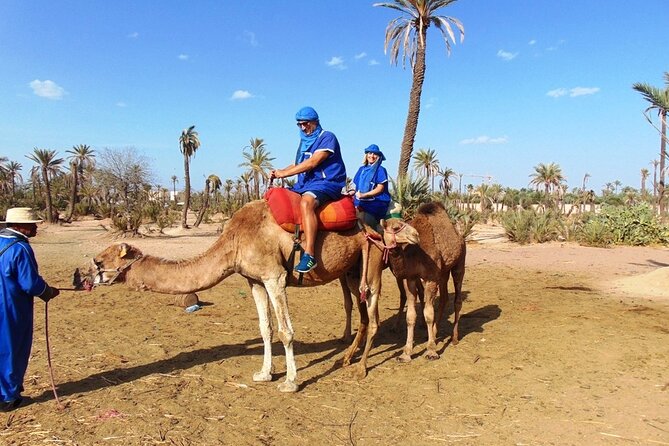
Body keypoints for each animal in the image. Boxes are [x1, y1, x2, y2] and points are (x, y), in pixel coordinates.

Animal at [85, 199, 419, 393]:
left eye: (100, 261)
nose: (82, 277)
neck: (234, 240)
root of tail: (380, 225)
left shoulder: (274, 277)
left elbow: (286, 331)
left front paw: (290, 381)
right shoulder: (253, 280)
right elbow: (265, 329)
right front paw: (264, 374)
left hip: (372, 265)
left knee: (373, 314)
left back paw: (362, 368)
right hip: (350, 271)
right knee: (362, 313)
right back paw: (347, 359)